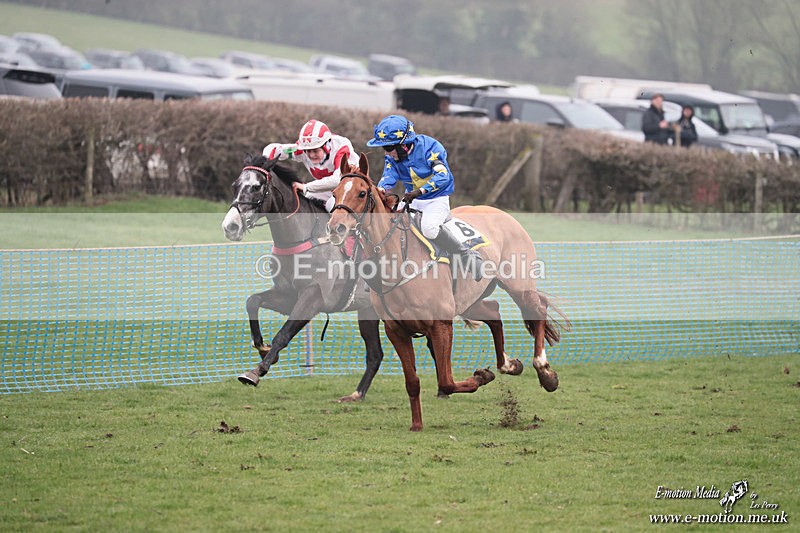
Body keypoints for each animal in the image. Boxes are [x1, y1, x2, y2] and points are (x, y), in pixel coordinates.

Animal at [221, 154, 521, 402]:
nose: (230, 226)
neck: (306, 238)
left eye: (256, 187)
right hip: (372, 310)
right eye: (236, 184)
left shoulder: (313, 298)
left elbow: (284, 334)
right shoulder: (288, 294)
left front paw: (256, 370)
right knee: (379, 353)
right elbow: (252, 301)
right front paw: (261, 346)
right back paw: (361, 393)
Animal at [327, 154, 567, 431]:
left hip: (519, 285)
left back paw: (545, 372)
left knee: (538, 310)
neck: (399, 259)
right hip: (469, 300)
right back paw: (508, 364)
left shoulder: (440, 325)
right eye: (334, 193)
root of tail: (504, 215)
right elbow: (412, 382)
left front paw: (481, 376)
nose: (335, 228)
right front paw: (417, 425)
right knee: (494, 311)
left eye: (362, 193)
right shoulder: (396, 330)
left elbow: (446, 381)